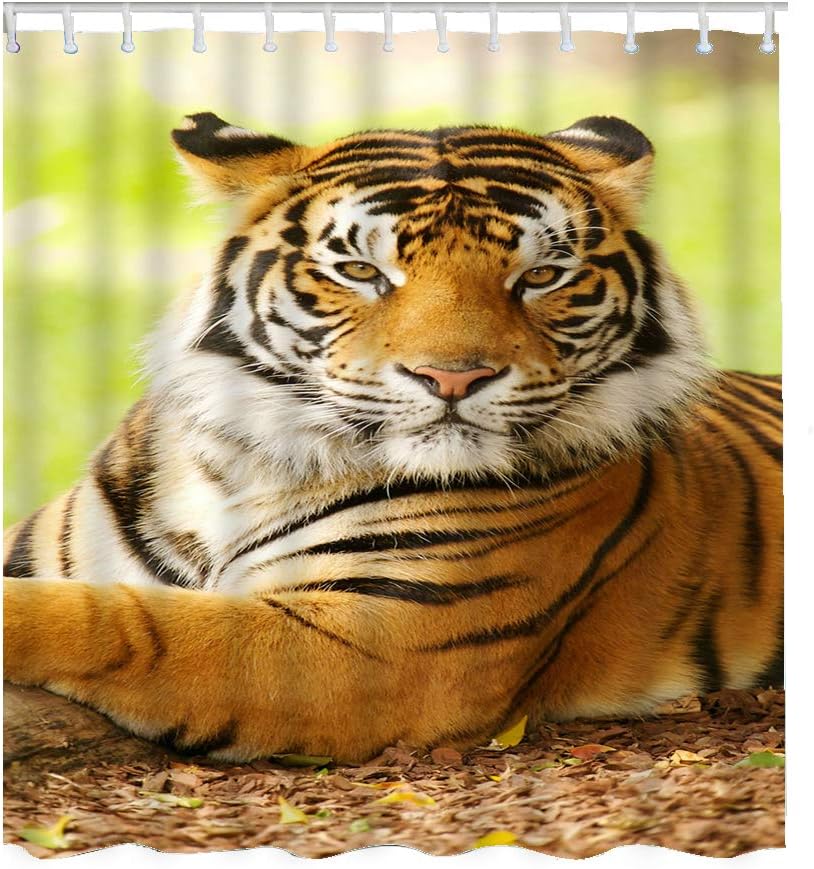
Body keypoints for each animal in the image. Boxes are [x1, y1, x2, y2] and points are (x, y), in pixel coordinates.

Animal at [3, 113, 782, 764]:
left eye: (540, 276)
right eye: (361, 271)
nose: (454, 376)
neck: (242, 467)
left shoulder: (383, 639)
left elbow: (126, 622)